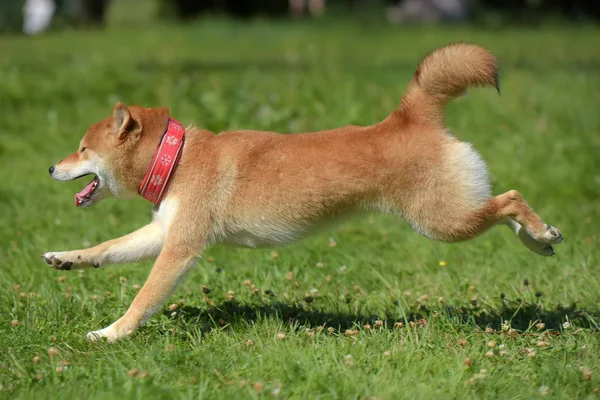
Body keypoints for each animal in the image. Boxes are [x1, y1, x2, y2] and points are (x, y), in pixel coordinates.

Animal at [42, 44, 564, 344]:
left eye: (82, 147)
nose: (50, 166)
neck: (177, 160)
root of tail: (408, 117)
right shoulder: (164, 232)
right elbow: (106, 249)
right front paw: (67, 258)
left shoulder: (181, 248)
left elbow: (143, 298)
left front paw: (111, 334)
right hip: (452, 213)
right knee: (502, 206)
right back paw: (536, 240)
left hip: (442, 220)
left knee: (510, 198)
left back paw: (539, 233)